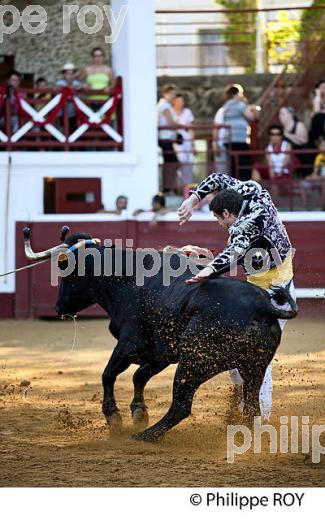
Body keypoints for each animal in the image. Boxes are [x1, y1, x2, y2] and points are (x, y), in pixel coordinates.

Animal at [53, 234, 296, 440]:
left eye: (68, 274)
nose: (58, 307)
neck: (125, 280)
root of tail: (264, 306)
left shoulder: (128, 345)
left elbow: (108, 374)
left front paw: (115, 418)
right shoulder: (161, 354)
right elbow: (139, 376)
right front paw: (139, 413)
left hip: (193, 364)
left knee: (181, 406)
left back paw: (144, 437)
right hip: (253, 367)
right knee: (252, 406)